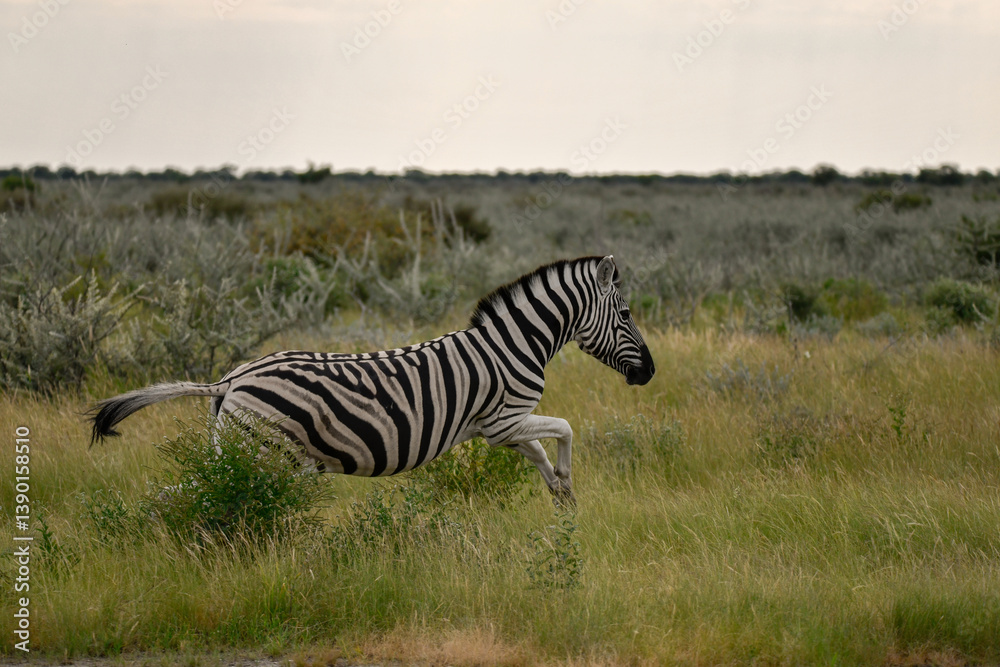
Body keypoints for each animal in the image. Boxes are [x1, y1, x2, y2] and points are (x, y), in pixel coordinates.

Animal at [90, 255, 655, 505]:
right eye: (626, 314)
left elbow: (541, 451)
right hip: (265, 455)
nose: (650, 372)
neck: (513, 343)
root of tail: (229, 378)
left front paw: (561, 497)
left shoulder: (501, 429)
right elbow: (565, 429)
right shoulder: (503, 421)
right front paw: (568, 486)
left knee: (181, 492)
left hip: (233, 449)